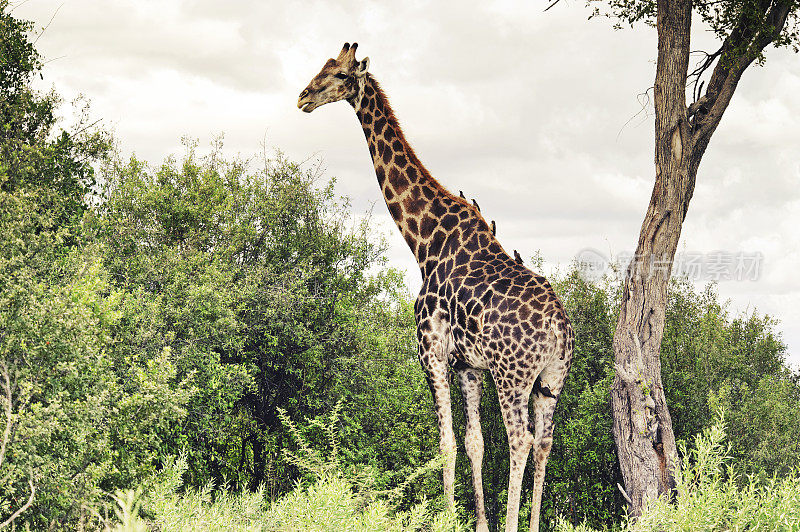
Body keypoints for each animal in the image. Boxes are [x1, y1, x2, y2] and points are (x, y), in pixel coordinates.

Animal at [296, 42, 572, 532]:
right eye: (323, 67)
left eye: (341, 75)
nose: (303, 97)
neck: (424, 243)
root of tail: (559, 329)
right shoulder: (468, 365)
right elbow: (474, 443)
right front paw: (478, 522)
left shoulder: (431, 351)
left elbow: (446, 443)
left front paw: (447, 517)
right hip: (551, 379)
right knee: (543, 444)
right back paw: (533, 522)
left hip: (513, 376)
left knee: (520, 441)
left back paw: (514, 522)